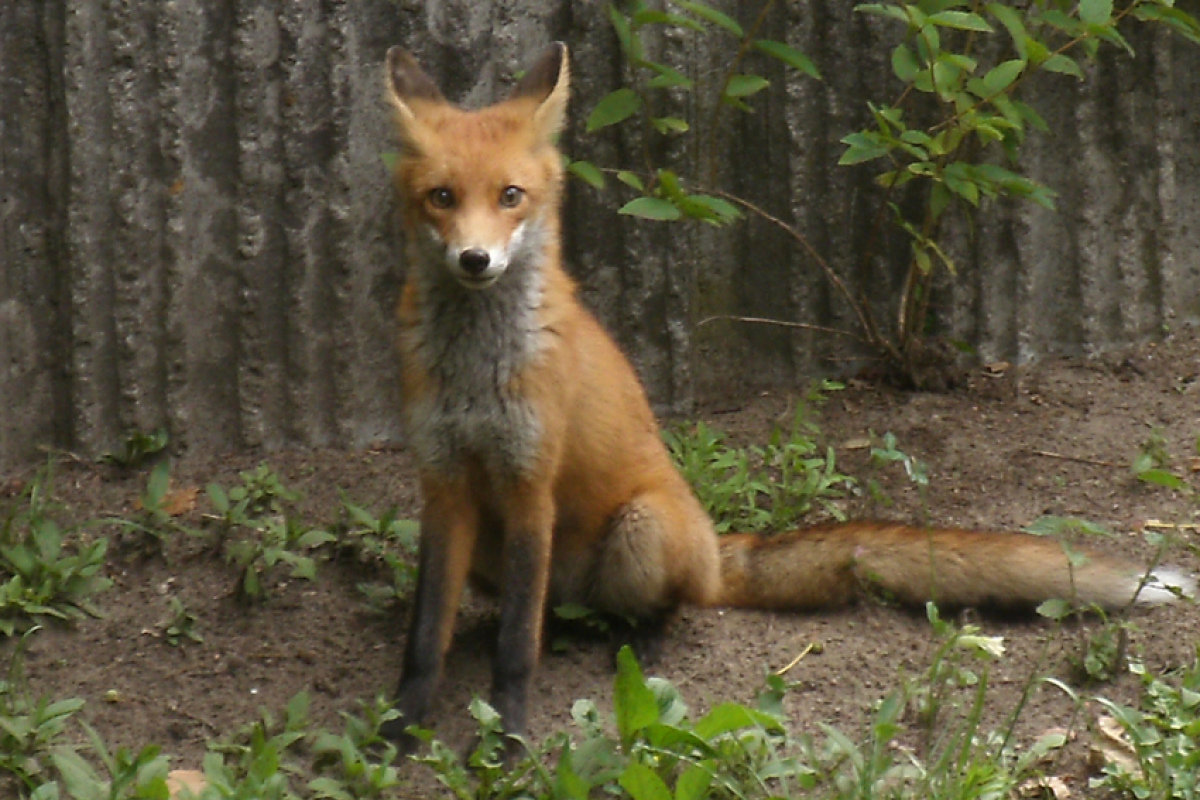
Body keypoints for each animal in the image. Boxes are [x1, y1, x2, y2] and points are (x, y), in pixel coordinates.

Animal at [380, 42, 1193, 747]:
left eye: (511, 196)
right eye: (441, 198)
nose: (475, 259)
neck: (475, 371)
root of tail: (716, 547)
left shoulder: (530, 482)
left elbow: (518, 646)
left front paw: (508, 737)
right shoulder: (443, 485)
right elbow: (425, 634)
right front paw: (401, 727)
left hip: (642, 525)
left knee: (655, 608)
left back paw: (640, 642)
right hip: (498, 544)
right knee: (545, 610)